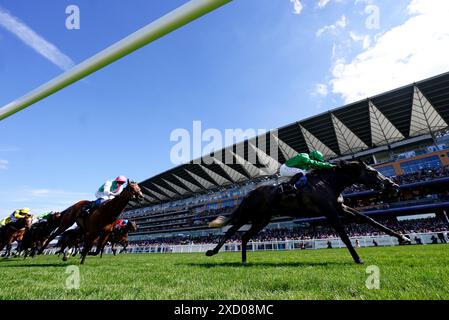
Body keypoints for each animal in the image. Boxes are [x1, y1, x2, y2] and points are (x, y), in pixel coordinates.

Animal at [206, 161, 410, 264]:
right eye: (374, 172)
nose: (394, 186)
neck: (329, 182)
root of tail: (249, 193)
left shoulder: (341, 208)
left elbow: (369, 219)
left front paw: (403, 237)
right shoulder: (329, 211)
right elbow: (343, 234)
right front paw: (358, 258)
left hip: (262, 219)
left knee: (244, 236)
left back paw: (244, 261)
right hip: (248, 215)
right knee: (231, 231)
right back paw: (211, 251)